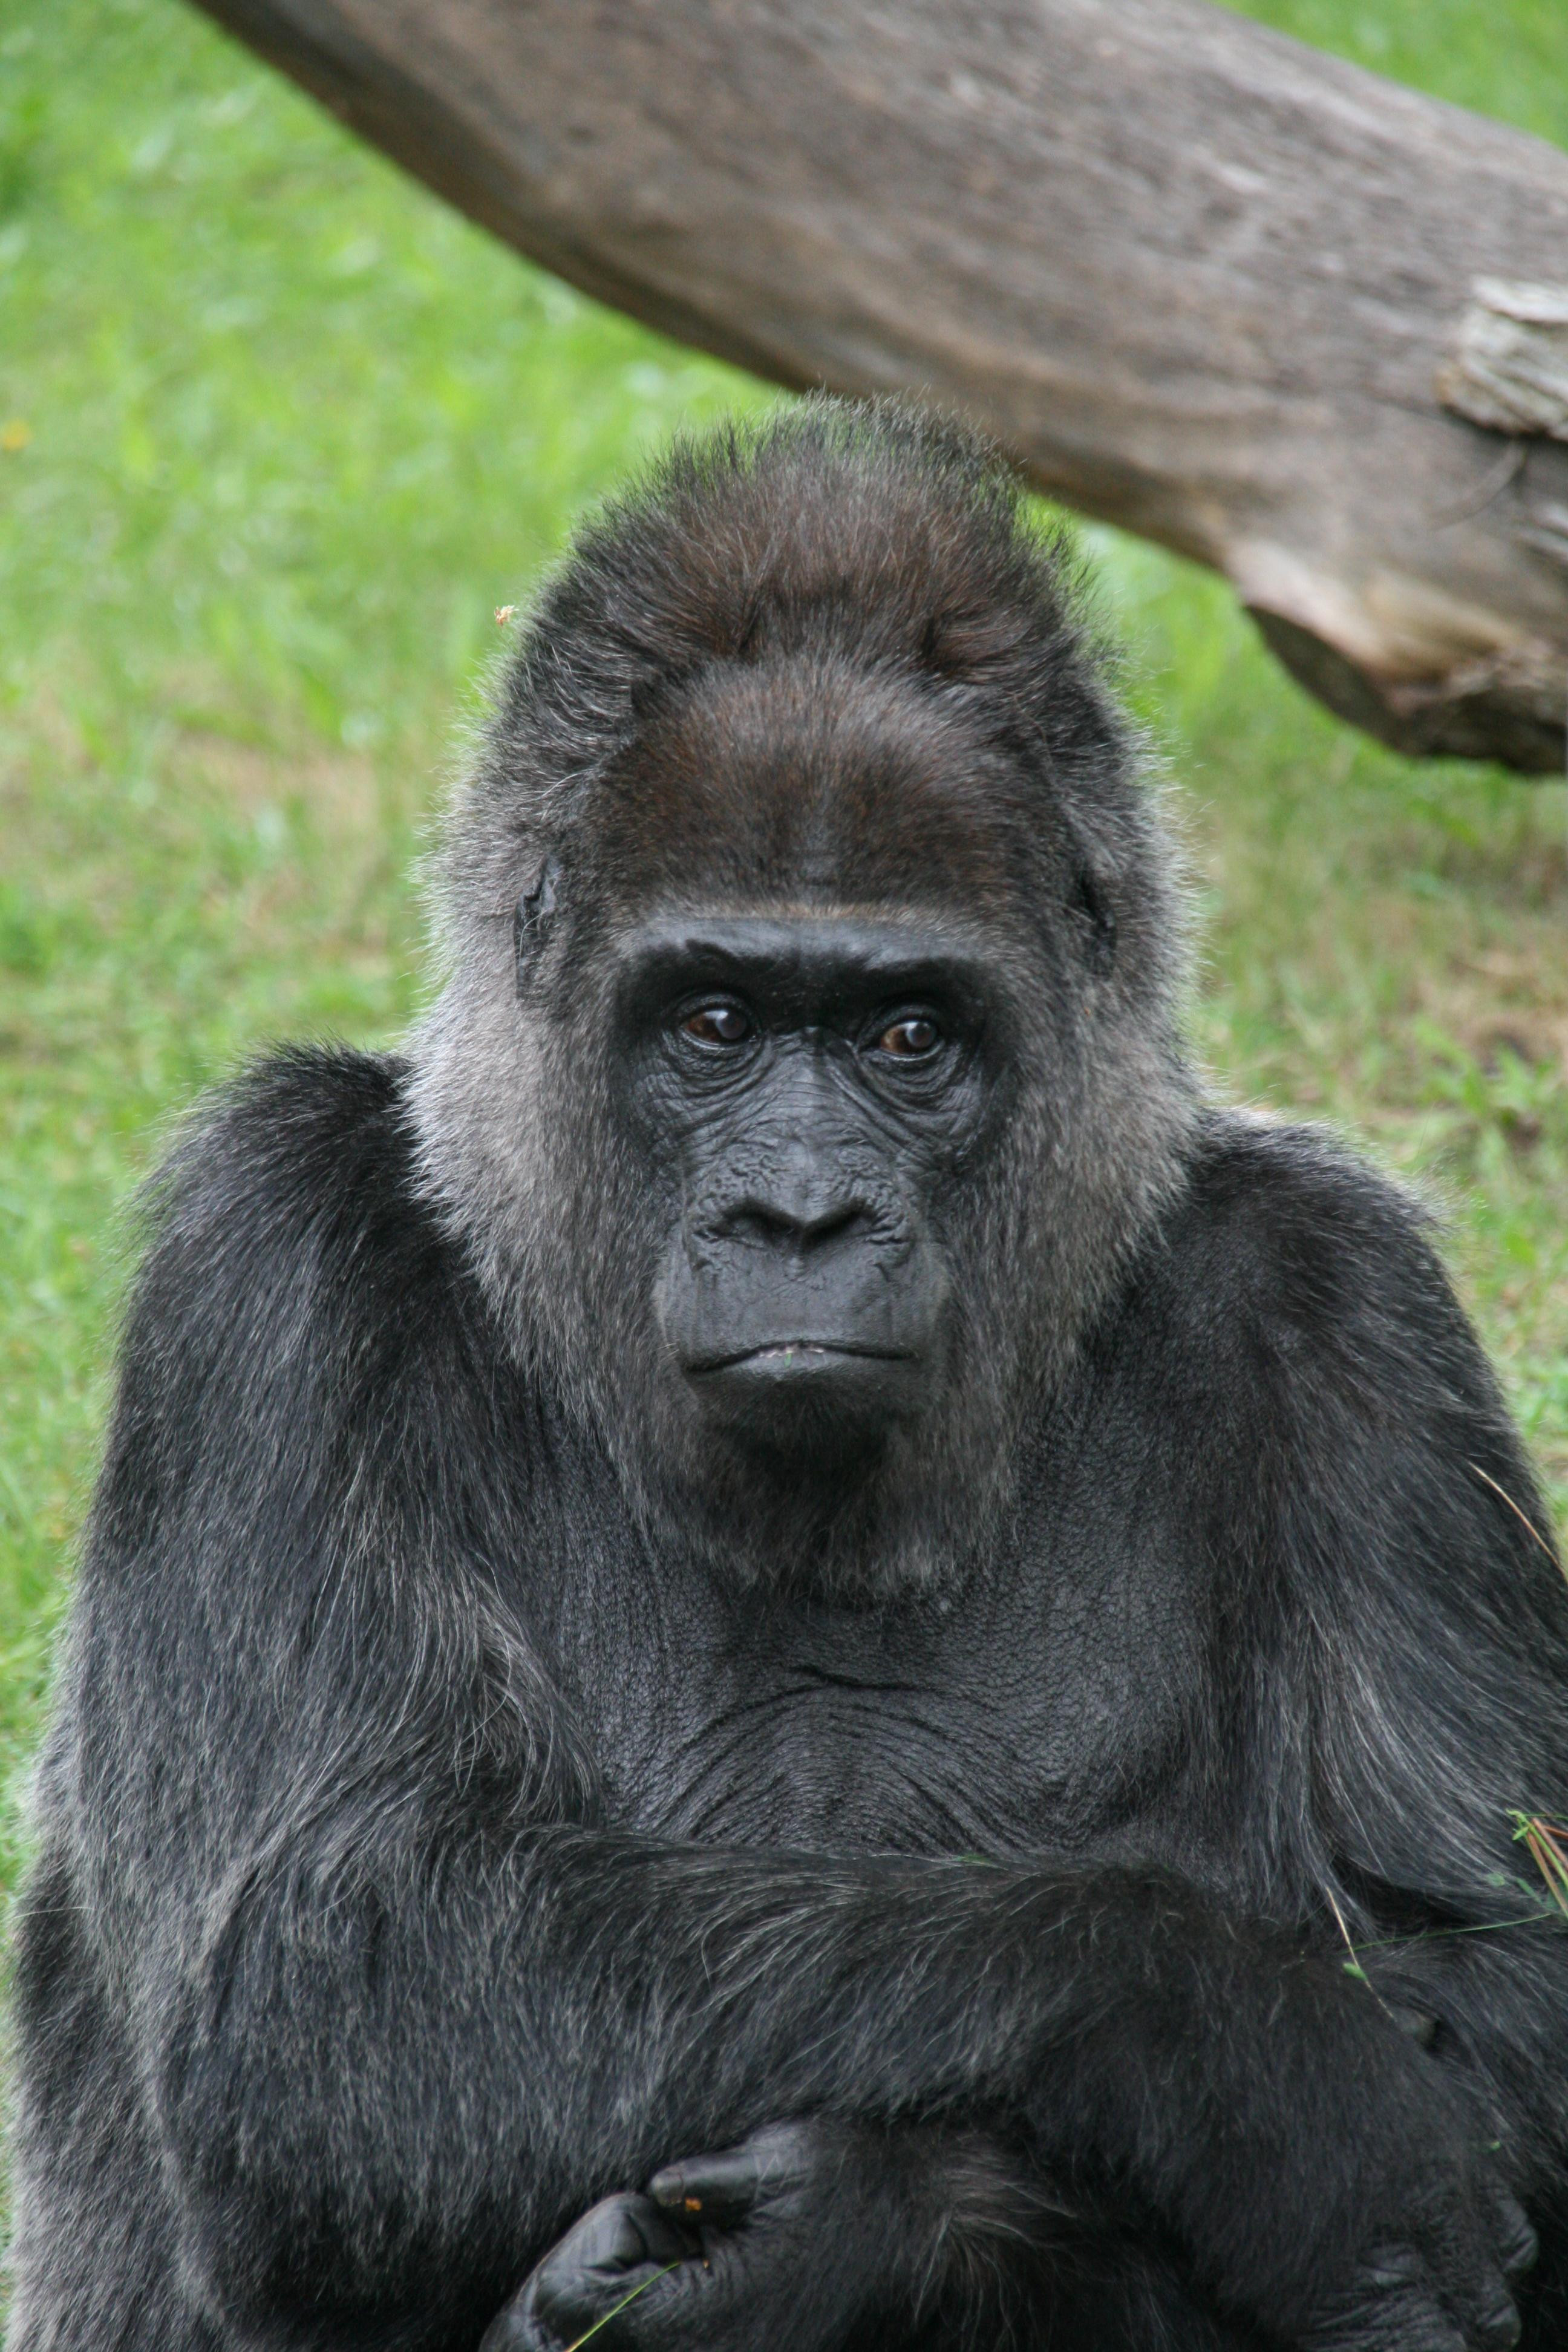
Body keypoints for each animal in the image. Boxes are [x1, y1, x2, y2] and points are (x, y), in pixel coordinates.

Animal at [8, 401, 1566, 2352]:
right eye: (716, 1022)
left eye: (906, 1034)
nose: (800, 1214)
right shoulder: (265, 1249)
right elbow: (329, 1986)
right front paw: (1243, 2056)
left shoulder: (1354, 1308)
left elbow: (1502, 1974)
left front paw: (856, 2226)